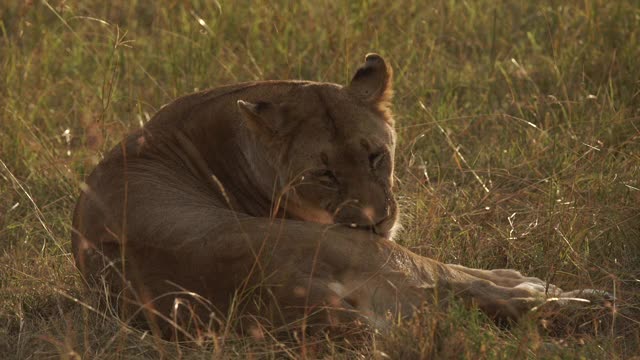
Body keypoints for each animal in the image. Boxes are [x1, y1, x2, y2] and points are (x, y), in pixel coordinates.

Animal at [72, 53, 604, 338]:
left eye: (375, 156)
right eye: (324, 174)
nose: (376, 219)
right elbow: (453, 270)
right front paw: (524, 281)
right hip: (351, 248)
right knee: (450, 288)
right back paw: (567, 297)